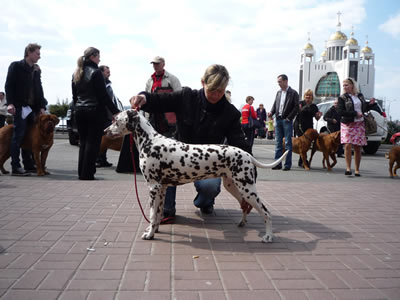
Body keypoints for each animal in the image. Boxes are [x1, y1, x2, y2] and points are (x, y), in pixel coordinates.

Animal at [105, 110, 288, 244]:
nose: (104, 131)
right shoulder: (162, 189)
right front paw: (154, 230)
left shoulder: (153, 187)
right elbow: (157, 214)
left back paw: (268, 236)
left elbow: (151, 214)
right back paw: (242, 223)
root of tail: (247, 154)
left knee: (266, 212)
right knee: (245, 206)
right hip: (234, 187)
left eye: (116, 120)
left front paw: (149, 234)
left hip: (248, 189)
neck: (150, 141)